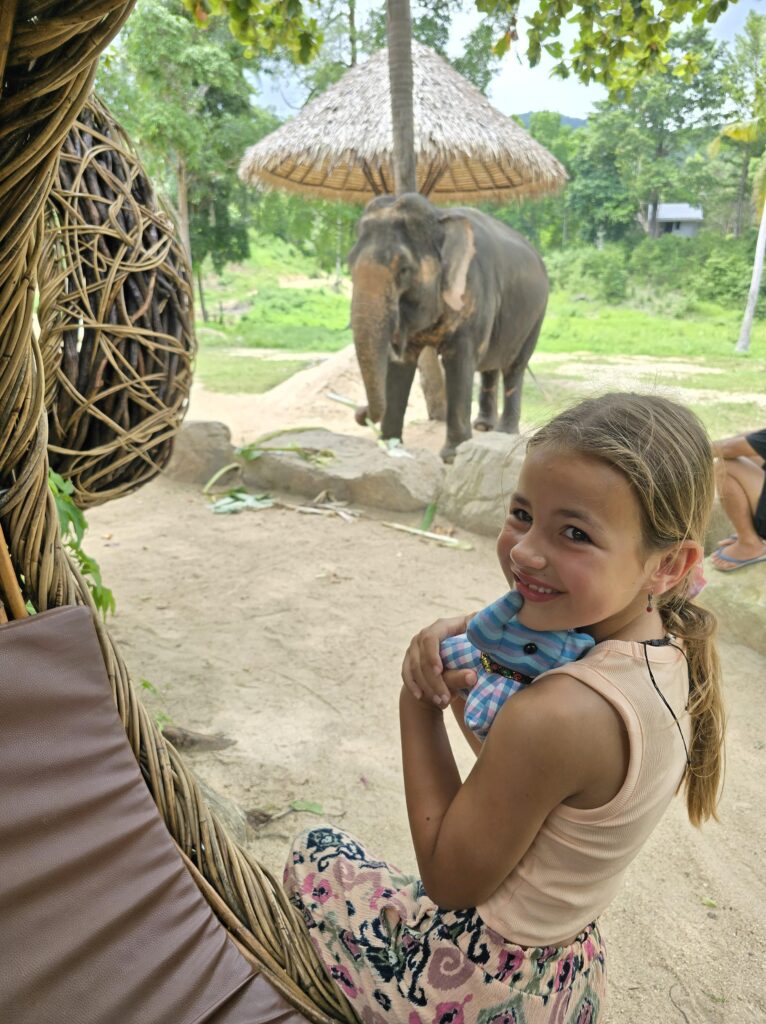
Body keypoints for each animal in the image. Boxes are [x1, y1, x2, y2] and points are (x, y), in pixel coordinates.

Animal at [346, 191, 548, 460]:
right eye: (350, 266)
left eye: (404, 270)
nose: (359, 412)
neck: (439, 217)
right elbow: (401, 365)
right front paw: (389, 446)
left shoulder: (472, 292)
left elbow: (459, 362)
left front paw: (452, 455)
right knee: (490, 365)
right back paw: (483, 427)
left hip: (537, 315)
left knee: (514, 366)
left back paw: (504, 433)